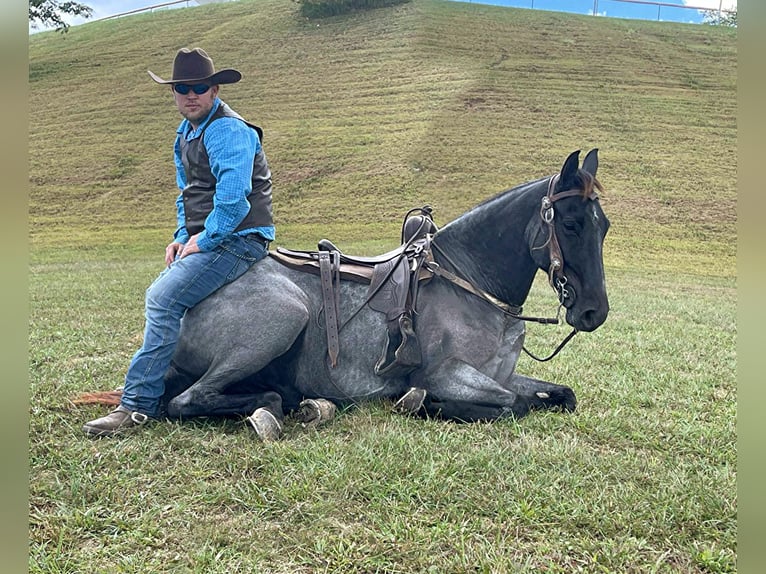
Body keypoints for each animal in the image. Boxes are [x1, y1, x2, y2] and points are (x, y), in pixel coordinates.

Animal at [82, 150, 612, 440]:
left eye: (603, 225)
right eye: (570, 223)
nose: (594, 312)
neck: (470, 283)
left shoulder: (502, 373)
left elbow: (561, 395)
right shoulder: (448, 375)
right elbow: (507, 405)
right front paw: (420, 403)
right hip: (282, 317)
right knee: (188, 401)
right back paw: (279, 409)